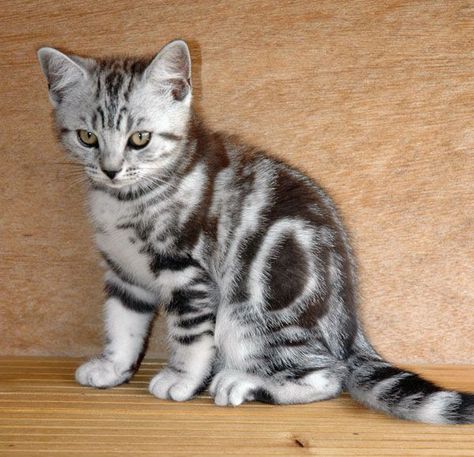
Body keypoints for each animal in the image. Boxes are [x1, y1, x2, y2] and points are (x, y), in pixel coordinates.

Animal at [38, 39, 474, 424]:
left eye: (139, 138)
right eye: (88, 137)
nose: (110, 170)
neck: (127, 200)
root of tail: (350, 328)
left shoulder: (189, 274)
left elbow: (190, 336)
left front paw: (181, 379)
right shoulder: (124, 273)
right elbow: (122, 324)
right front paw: (113, 367)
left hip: (248, 316)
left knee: (327, 375)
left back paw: (243, 382)